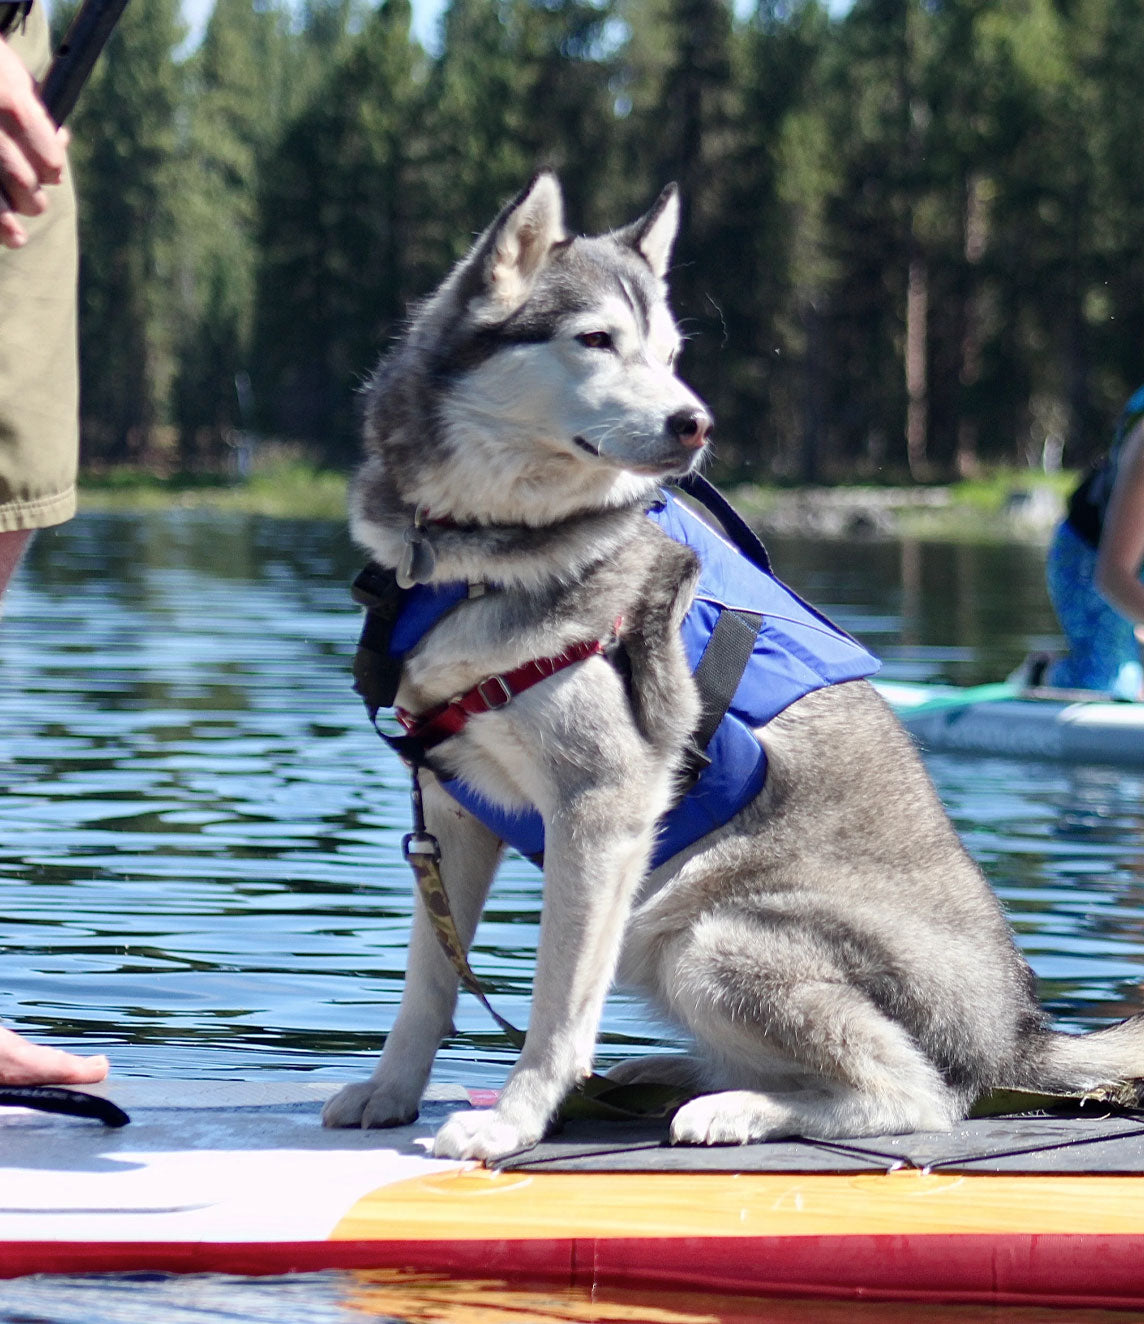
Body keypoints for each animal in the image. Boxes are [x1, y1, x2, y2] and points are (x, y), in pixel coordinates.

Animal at [319, 173, 1144, 1159]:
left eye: (670, 352)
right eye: (595, 339)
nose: (696, 422)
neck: (472, 554)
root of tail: (1018, 1035)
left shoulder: (603, 806)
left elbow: (559, 1002)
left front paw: (516, 1118)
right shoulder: (452, 805)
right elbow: (430, 984)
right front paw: (390, 1090)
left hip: (702, 933)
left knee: (917, 1094)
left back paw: (733, 1107)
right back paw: (669, 1074)